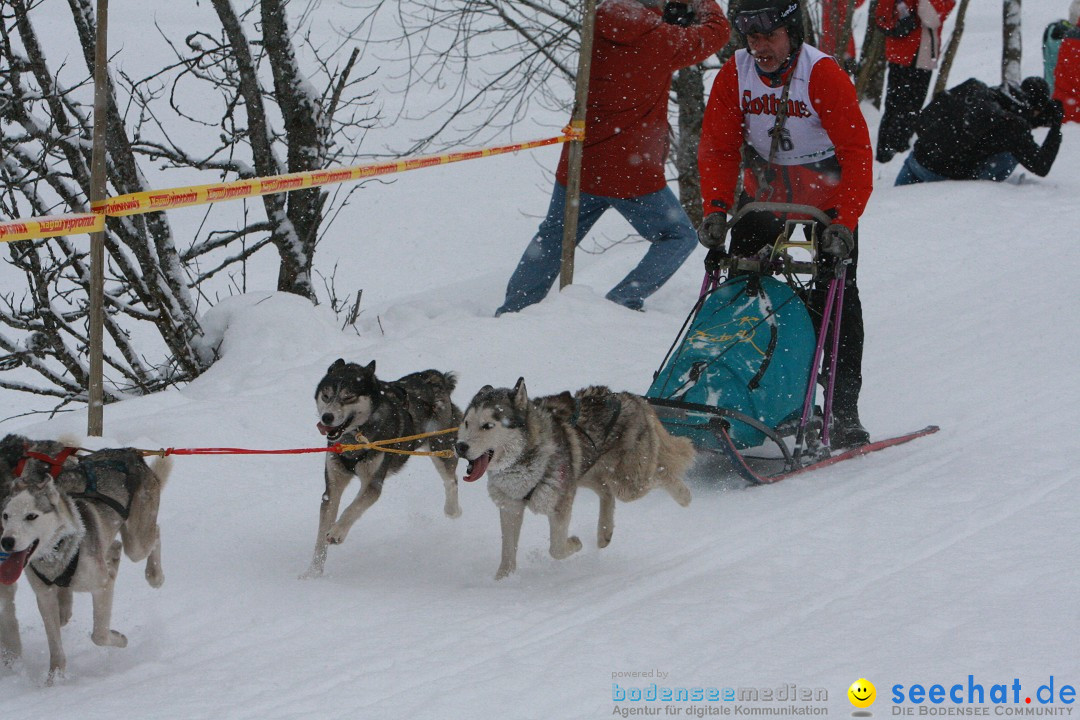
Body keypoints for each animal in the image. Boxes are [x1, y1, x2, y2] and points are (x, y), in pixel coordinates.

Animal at [0, 436, 169, 686]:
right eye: (6, 516)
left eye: (31, 516)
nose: (7, 541)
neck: (57, 551)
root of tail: (130, 452)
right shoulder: (45, 595)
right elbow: (55, 645)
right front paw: (55, 679)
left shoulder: (101, 587)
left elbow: (99, 634)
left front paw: (120, 638)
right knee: (116, 548)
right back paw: (114, 562)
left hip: (137, 542)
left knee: (154, 533)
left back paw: (155, 575)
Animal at [302, 360, 462, 578]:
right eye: (326, 395)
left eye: (348, 397)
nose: (327, 417)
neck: (354, 438)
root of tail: (435, 377)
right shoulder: (332, 487)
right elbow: (321, 536)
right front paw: (313, 572)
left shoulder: (373, 483)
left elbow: (352, 508)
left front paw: (337, 532)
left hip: (439, 447)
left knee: (451, 480)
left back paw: (452, 510)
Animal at [453, 379, 691, 582]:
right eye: (466, 423)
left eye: (487, 425)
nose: (460, 446)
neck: (522, 461)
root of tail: (632, 397)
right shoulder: (511, 507)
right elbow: (508, 554)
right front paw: (502, 581)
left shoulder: (560, 504)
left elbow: (556, 549)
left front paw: (575, 543)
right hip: (585, 472)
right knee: (606, 491)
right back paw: (604, 533)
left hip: (627, 483)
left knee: (660, 474)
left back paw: (684, 496)